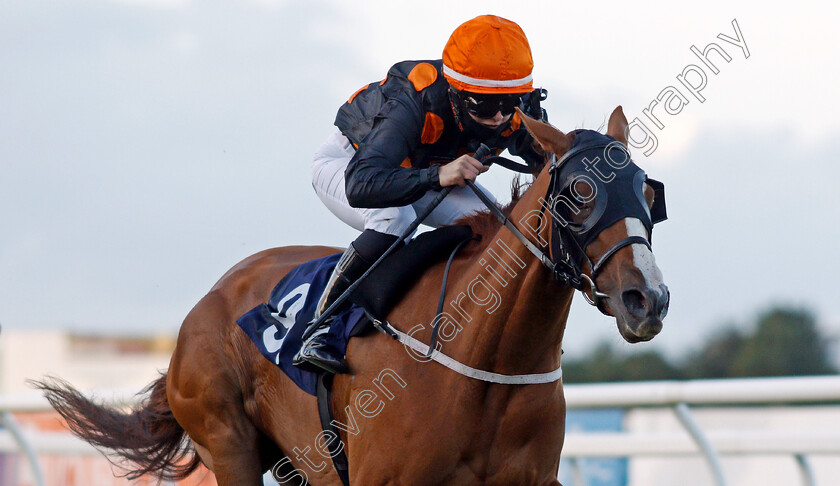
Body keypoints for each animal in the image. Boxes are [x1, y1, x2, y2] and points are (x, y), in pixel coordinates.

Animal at [37, 108, 668, 484]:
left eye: (647, 192)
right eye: (581, 192)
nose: (648, 299)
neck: (488, 360)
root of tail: (208, 301)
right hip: (227, 441)